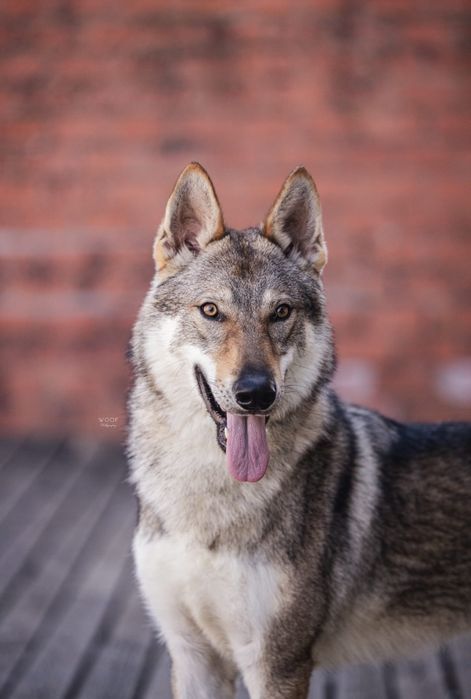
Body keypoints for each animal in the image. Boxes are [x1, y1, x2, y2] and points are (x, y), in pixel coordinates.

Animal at [128, 163, 471, 699]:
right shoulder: (193, 656)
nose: (256, 393)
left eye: (281, 313)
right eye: (211, 311)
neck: (208, 501)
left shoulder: (277, 663)